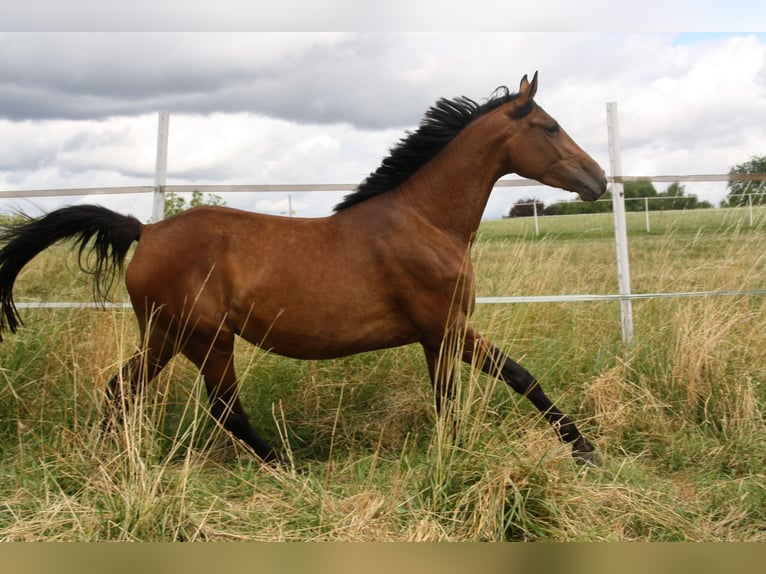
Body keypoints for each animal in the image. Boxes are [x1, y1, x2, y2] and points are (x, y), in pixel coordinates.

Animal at [1, 72, 608, 468]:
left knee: (120, 390)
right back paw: (288, 466)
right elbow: (482, 392)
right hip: (205, 339)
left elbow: (490, 388)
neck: (425, 220)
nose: (598, 179)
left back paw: (112, 461)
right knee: (224, 409)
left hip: (165, 336)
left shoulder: (444, 333)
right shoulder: (444, 328)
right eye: (550, 127)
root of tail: (145, 231)